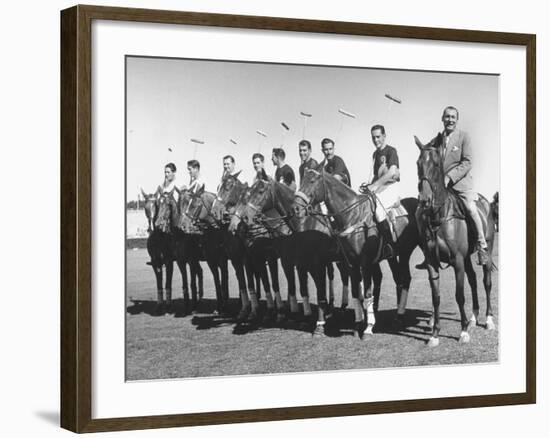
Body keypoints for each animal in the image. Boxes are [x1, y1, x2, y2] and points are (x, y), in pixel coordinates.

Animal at [294, 169, 418, 338]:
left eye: (312, 181)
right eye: (301, 181)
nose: (295, 207)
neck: (352, 215)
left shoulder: (363, 263)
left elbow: (366, 293)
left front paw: (368, 328)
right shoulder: (351, 262)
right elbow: (354, 292)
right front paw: (357, 324)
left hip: (406, 252)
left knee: (405, 279)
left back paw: (399, 316)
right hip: (392, 255)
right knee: (399, 279)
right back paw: (396, 316)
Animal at [416, 133, 498, 346]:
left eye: (436, 164)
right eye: (418, 163)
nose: (424, 200)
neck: (439, 217)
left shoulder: (458, 261)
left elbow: (459, 295)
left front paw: (463, 332)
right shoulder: (432, 262)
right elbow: (436, 296)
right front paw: (435, 334)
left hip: (486, 251)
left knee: (486, 282)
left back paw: (488, 320)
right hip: (468, 257)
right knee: (473, 280)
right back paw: (473, 318)